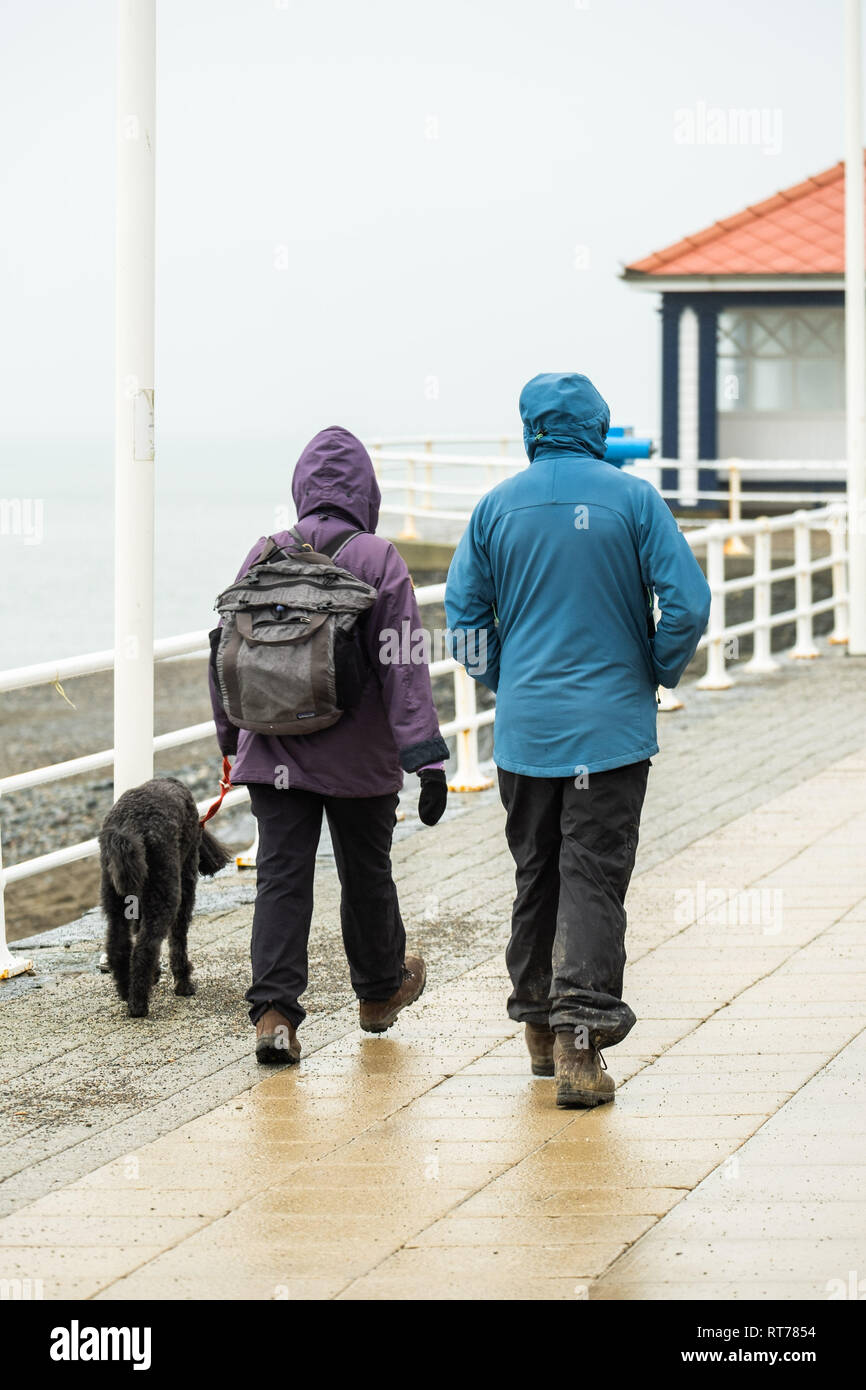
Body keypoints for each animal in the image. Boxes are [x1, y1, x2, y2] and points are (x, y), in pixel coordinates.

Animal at [99, 778, 230, 1017]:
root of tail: (128, 828)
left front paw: (156, 975)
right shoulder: (185, 884)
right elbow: (178, 939)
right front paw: (183, 983)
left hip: (115, 897)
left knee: (118, 945)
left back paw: (125, 990)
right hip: (165, 892)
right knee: (145, 947)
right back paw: (139, 1004)